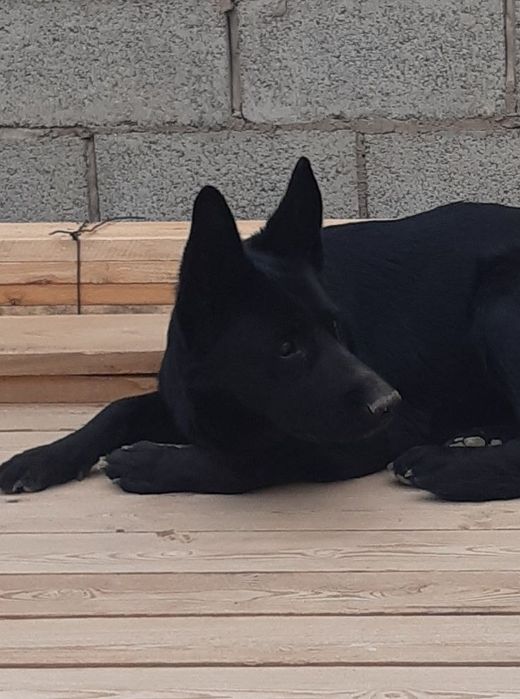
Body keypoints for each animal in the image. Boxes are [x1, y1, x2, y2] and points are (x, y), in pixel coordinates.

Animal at [2, 157, 520, 502]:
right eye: (286, 347)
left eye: (336, 328)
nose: (388, 404)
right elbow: (118, 408)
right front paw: (45, 456)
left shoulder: (367, 438)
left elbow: (264, 457)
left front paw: (153, 461)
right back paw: (479, 435)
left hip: (499, 296)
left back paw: (447, 466)